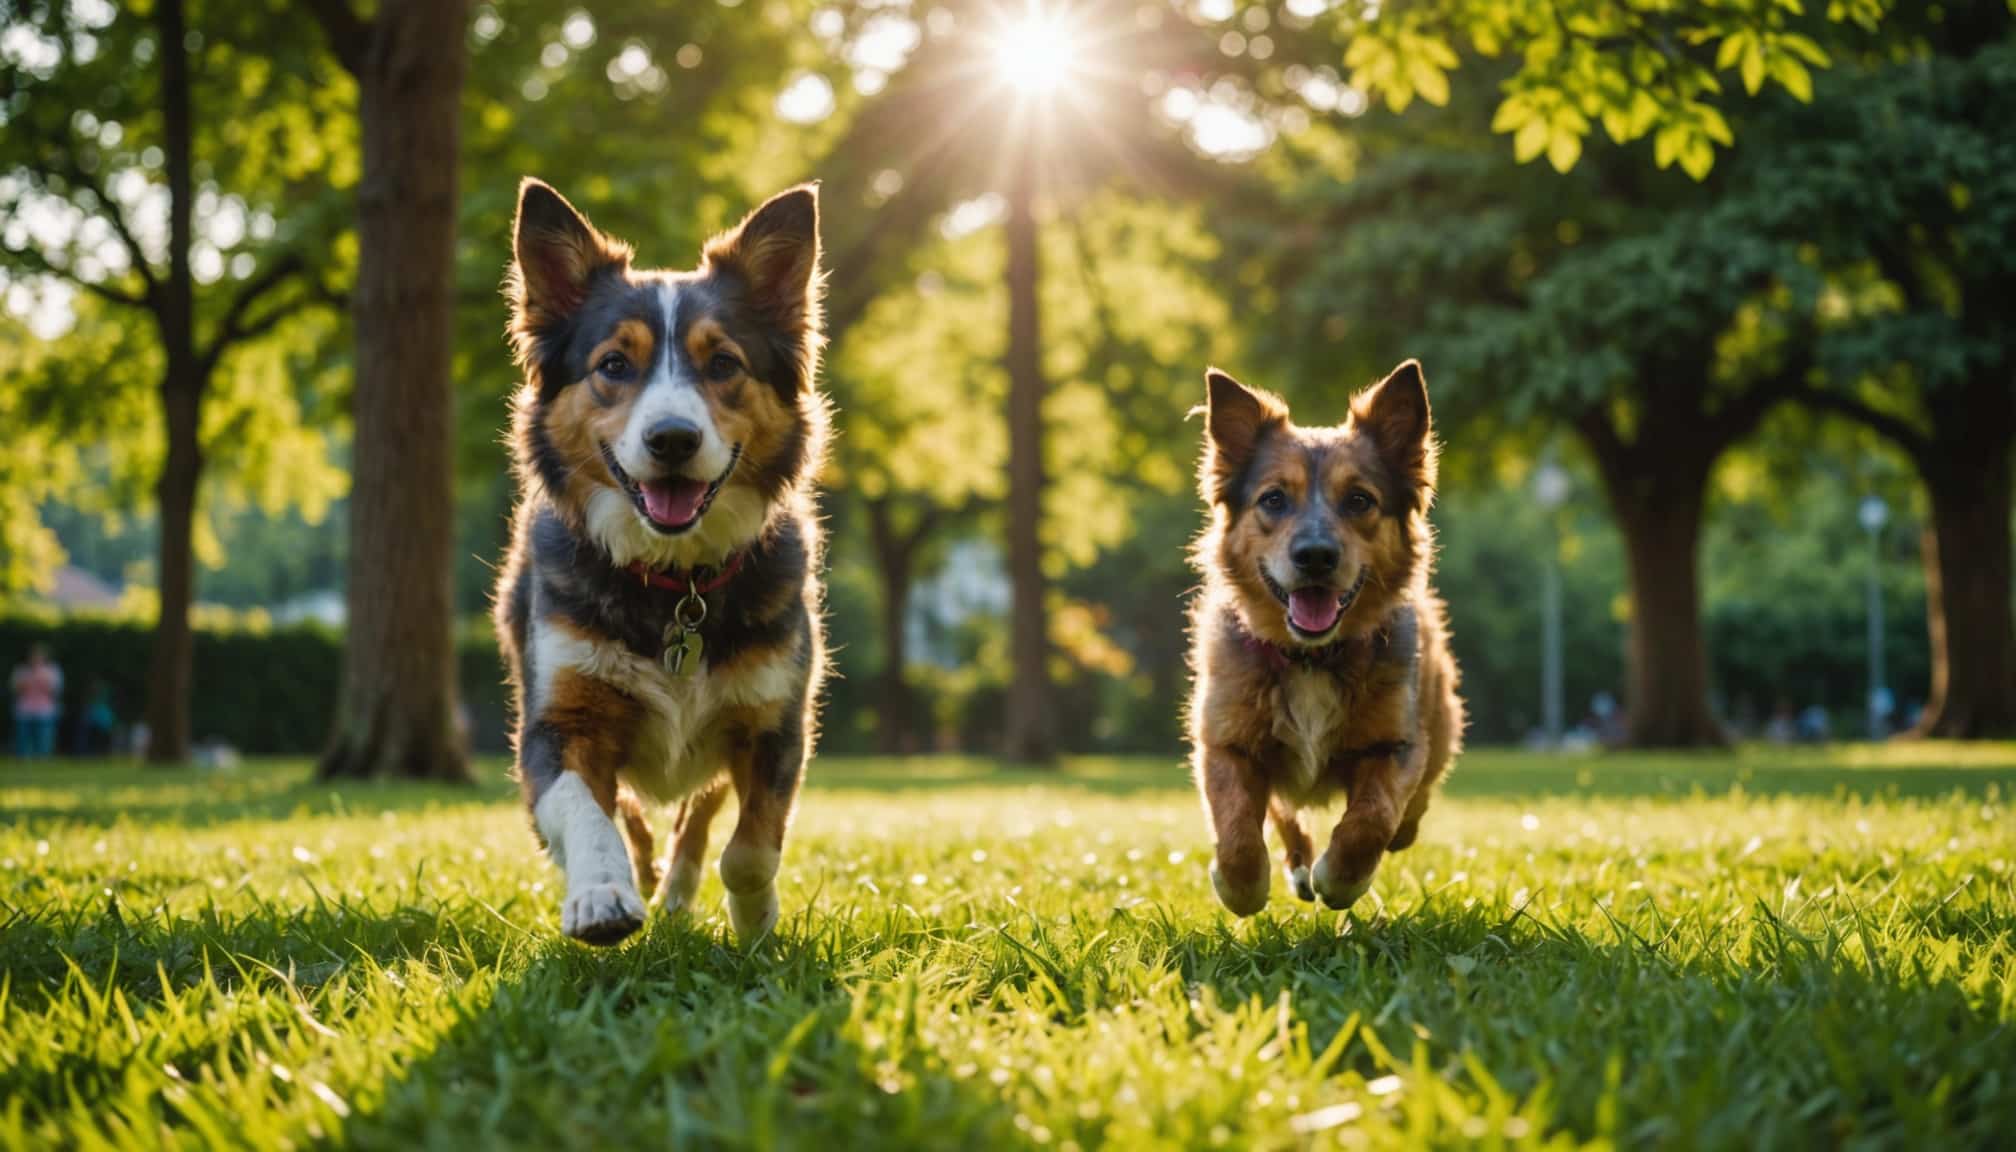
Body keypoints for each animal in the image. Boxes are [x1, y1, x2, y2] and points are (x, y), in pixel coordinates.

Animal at [493, 173, 826, 948]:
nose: (672, 438)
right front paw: (602, 895)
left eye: (724, 364)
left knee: (697, 816)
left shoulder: (775, 722)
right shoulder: (557, 724)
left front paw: (756, 923)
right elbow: (587, 812)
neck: (675, 580)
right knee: (631, 813)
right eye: (614, 365)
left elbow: (751, 848)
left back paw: (676, 890)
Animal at [1177, 361, 1467, 919]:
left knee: (1410, 808)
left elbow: (1371, 819)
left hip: (1439, 726)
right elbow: (1238, 830)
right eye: (1273, 499)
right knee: (1285, 816)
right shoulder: (1226, 743)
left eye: (1359, 500)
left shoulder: (1395, 745)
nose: (1315, 555)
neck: (1309, 658)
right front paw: (1240, 886)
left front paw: (1342, 878)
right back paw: (1296, 867)